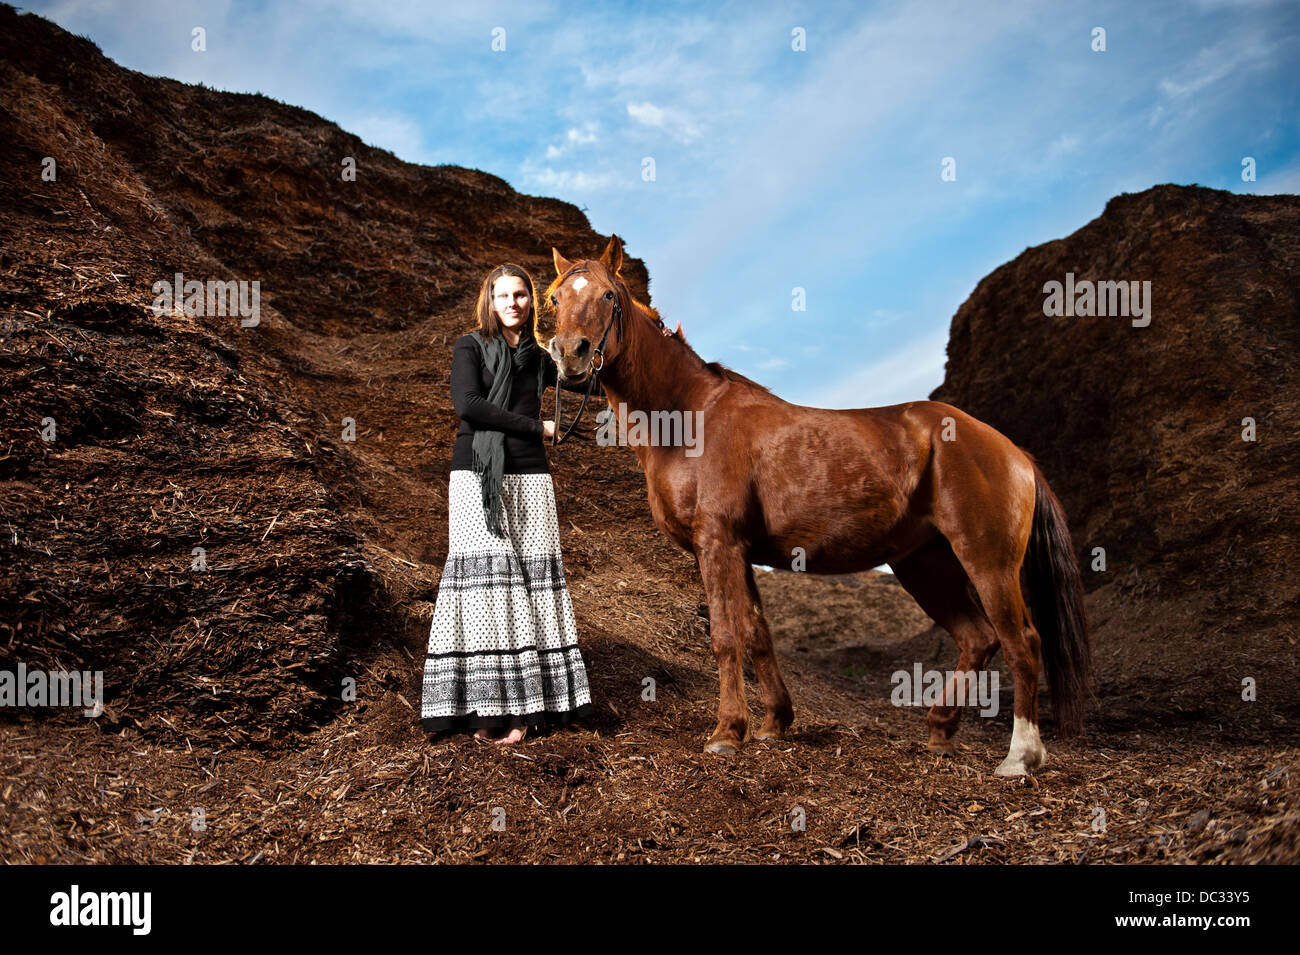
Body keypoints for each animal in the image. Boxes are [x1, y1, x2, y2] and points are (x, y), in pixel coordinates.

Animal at [543, 233, 1092, 779]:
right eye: (554, 297)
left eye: (608, 296)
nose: (571, 355)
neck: (690, 417)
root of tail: (1012, 451)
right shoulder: (742, 552)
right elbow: (756, 633)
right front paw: (773, 723)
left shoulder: (717, 544)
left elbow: (725, 635)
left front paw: (727, 731)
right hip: (924, 563)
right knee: (978, 638)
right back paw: (940, 730)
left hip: (987, 560)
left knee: (1022, 641)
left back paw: (1020, 755)